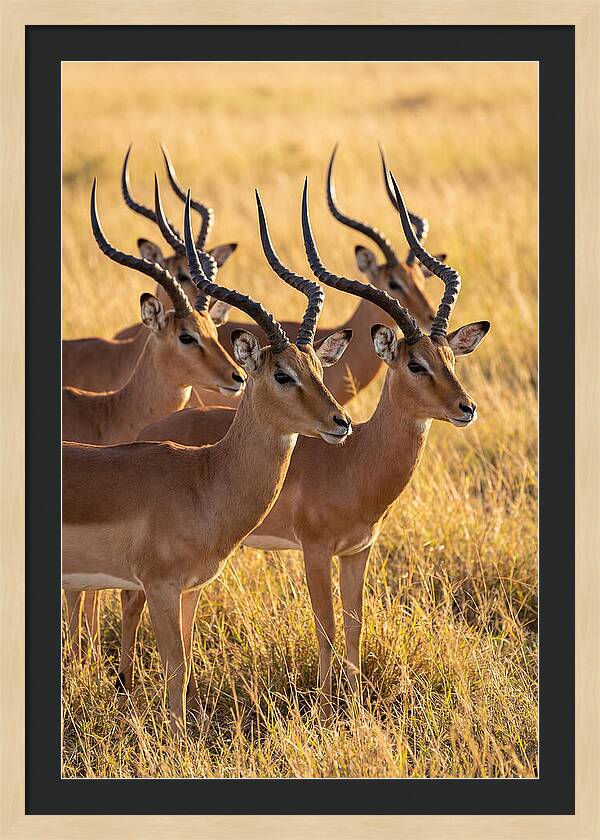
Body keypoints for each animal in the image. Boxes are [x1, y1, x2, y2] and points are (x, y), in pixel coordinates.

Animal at [123, 175, 489, 720]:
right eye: (415, 364)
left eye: (449, 357)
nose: (466, 408)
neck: (356, 460)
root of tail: (154, 428)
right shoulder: (315, 551)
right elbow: (326, 626)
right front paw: (323, 706)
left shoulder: (359, 551)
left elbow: (355, 626)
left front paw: (354, 705)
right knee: (130, 601)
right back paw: (124, 685)